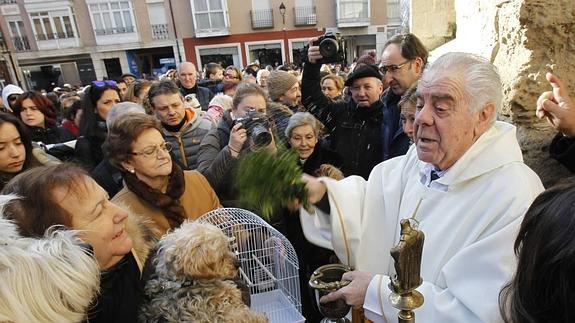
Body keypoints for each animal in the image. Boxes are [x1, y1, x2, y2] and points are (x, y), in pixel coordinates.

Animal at [140, 221, 268, 322]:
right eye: (221, 257)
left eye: (228, 248)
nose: (238, 264)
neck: (187, 283)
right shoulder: (222, 312)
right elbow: (244, 314)